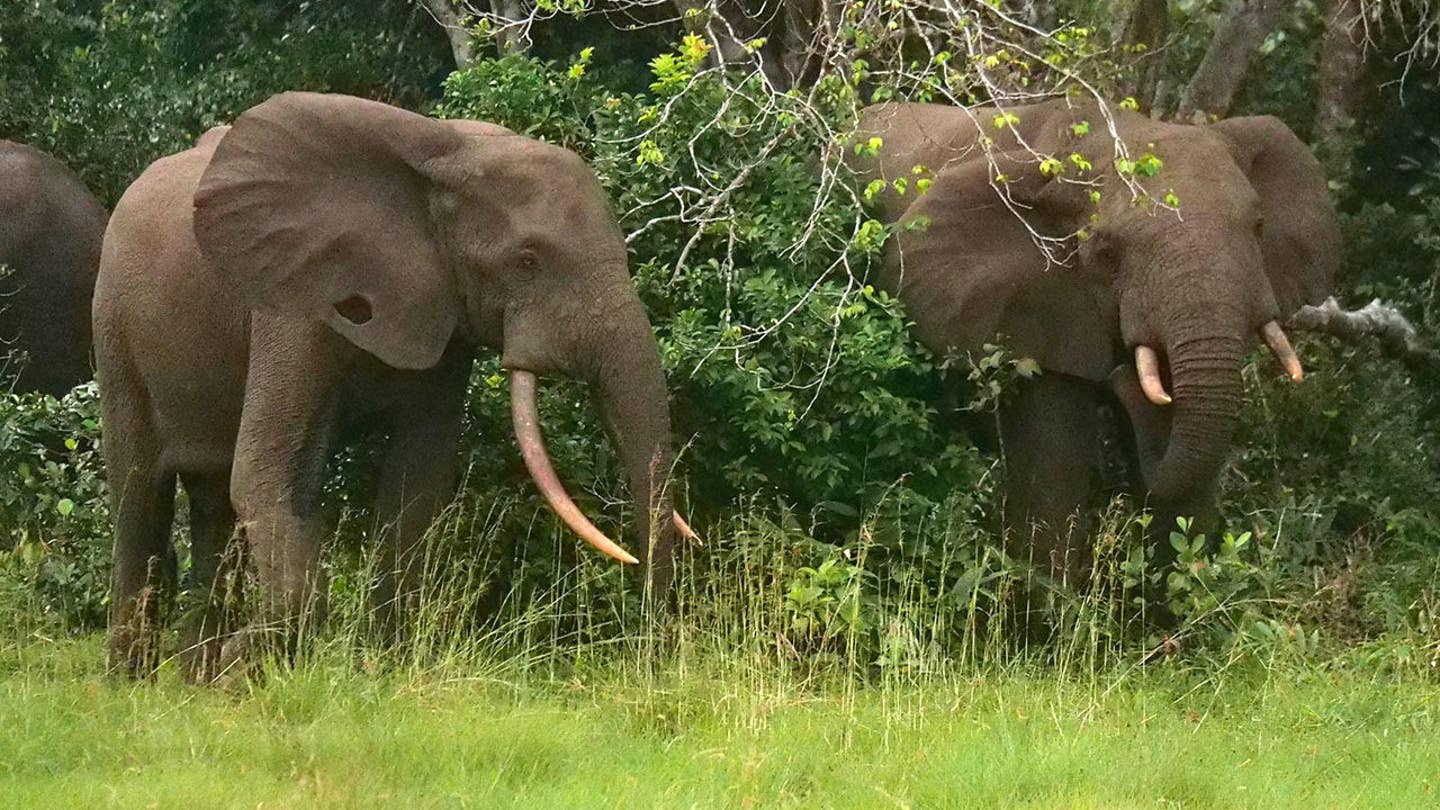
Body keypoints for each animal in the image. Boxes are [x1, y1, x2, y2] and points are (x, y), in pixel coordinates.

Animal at [96, 93, 690, 679]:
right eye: (526, 262)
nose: (652, 659)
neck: (449, 156)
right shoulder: (293, 304)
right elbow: (267, 474)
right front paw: (243, 664)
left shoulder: (444, 314)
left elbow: (417, 483)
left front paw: (381, 670)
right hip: (114, 328)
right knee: (140, 496)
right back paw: (133, 680)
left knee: (212, 505)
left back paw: (192, 681)